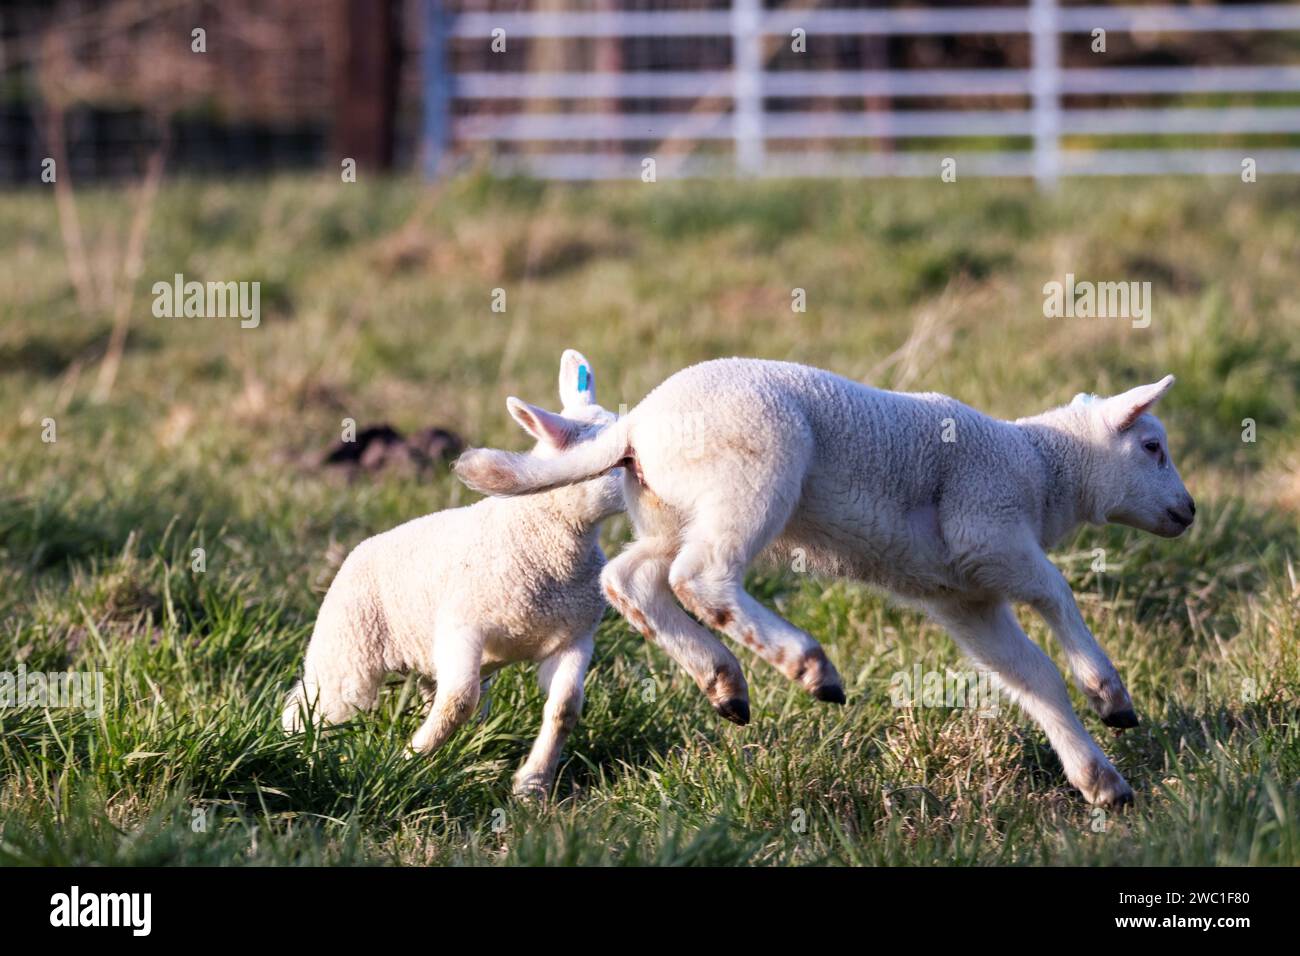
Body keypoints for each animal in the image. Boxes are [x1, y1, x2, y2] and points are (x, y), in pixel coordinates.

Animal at [283, 348, 624, 796]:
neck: (548, 538)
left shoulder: (574, 638)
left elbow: (564, 708)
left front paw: (532, 785)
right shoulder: (462, 627)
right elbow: (458, 702)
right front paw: (409, 760)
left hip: (425, 656)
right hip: (349, 648)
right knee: (314, 703)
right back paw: (298, 751)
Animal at [452, 358, 1190, 806]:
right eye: (1152, 446)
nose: (1189, 512)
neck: (1042, 470)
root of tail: (636, 424)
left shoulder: (965, 595)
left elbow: (1033, 676)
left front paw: (1101, 779)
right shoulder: (990, 533)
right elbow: (1058, 593)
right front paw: (1110, 694)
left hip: (670, 508)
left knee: (632, 580)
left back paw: (723, 682)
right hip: (754, 472)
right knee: (702, 579)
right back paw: (806, 666)